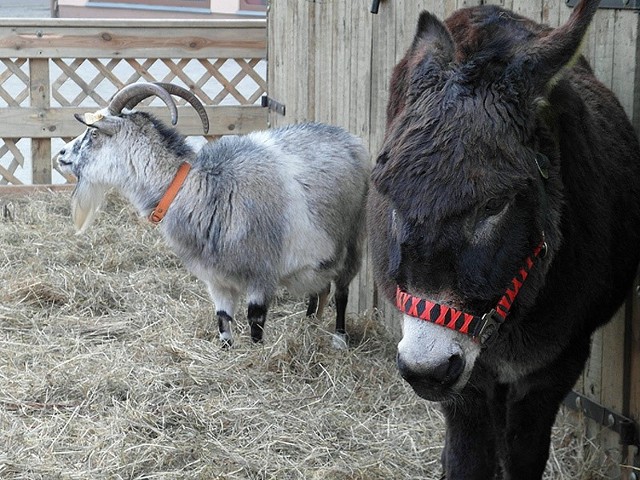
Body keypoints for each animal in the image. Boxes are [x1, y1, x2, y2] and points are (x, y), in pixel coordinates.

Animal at [56, 83, 370, 348]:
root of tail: (352, 139)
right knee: (321, 288)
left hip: (353, 241)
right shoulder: (215, 279)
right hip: (321, 254)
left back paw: (339, 339)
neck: (198, 186)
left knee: (342, 291)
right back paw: (310, 323)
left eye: (93, 133)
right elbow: (223, 322)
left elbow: (256, 322)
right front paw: (227, 352)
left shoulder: (261, 272)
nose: (61, 154)